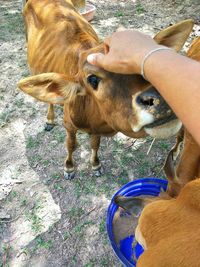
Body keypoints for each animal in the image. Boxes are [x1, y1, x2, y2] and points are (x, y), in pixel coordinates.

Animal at [18, 1, 194, 180]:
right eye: (92, 79)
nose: (160, 100)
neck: (92, 119)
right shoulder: (68, 124)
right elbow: (71, 145)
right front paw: (69, 168)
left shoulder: (96, 130)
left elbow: (95, 144)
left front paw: (96, 165)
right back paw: (49, 119)